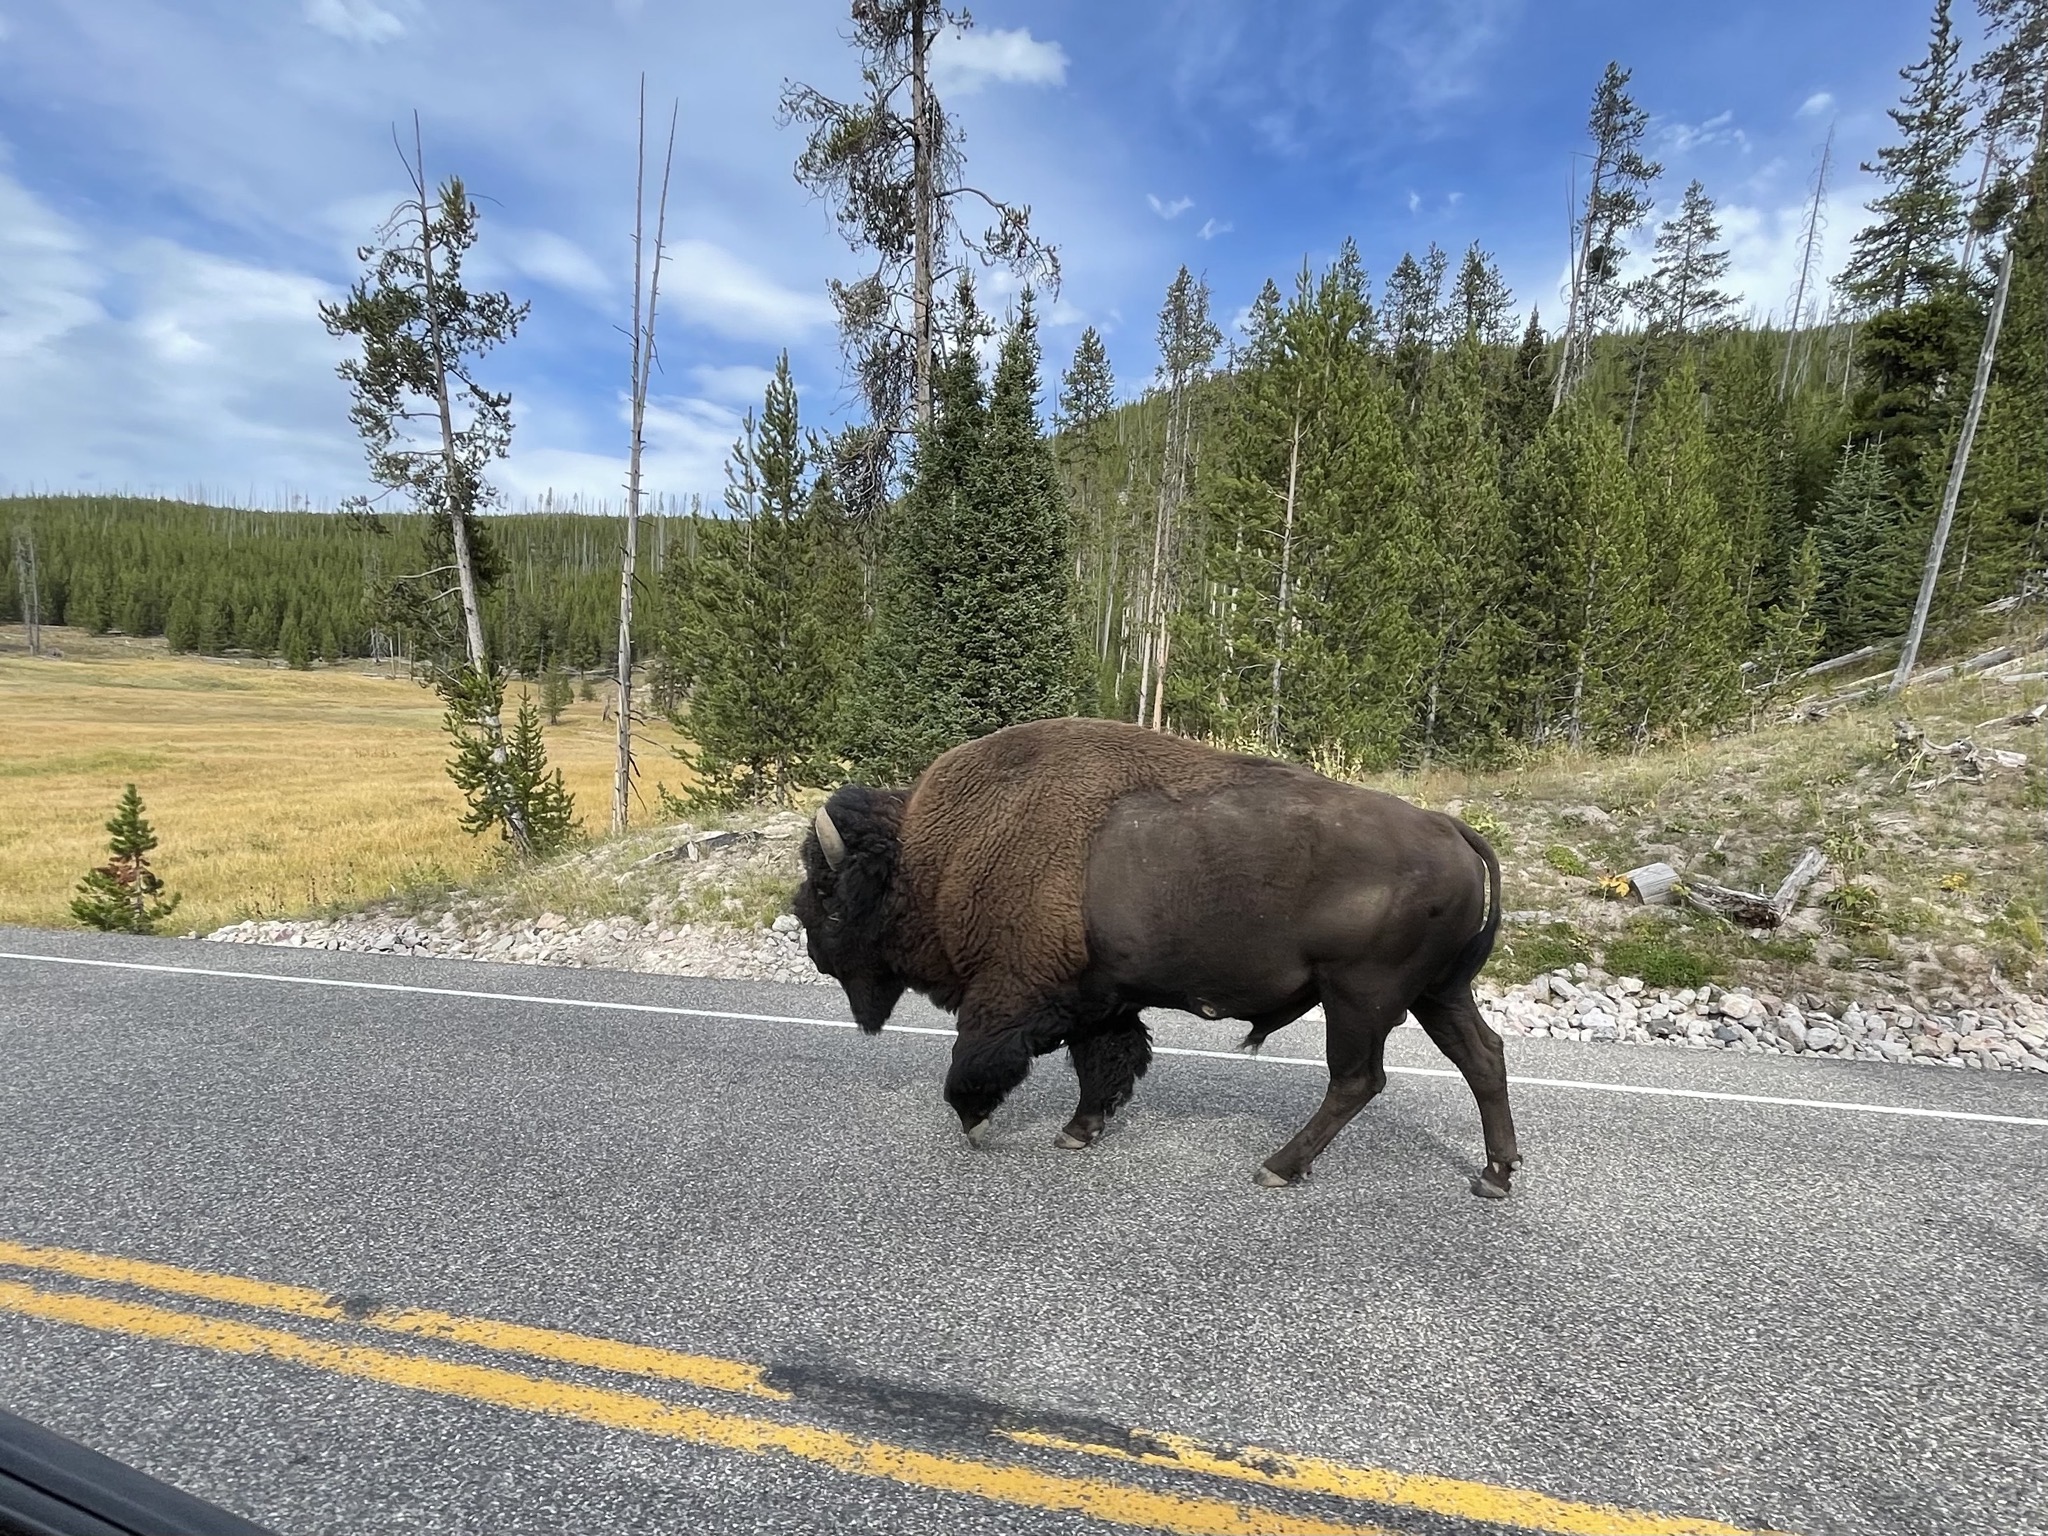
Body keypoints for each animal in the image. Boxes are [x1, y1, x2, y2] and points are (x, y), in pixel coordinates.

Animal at [793, 717, 1520, 1196]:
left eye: (829, 892)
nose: (814, 950)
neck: (934, 855)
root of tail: (1453, 829)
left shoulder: (1012, 991)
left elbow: (979, 1058)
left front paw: (976, 1123)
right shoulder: (1099, 998)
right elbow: (1105, 1063)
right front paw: (1078, 1131)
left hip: (1360, 997)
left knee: (1357, 1080)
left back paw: (1276, 1168)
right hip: (1436, 993)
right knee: (1481, 1057)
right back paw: (1495, 1175)